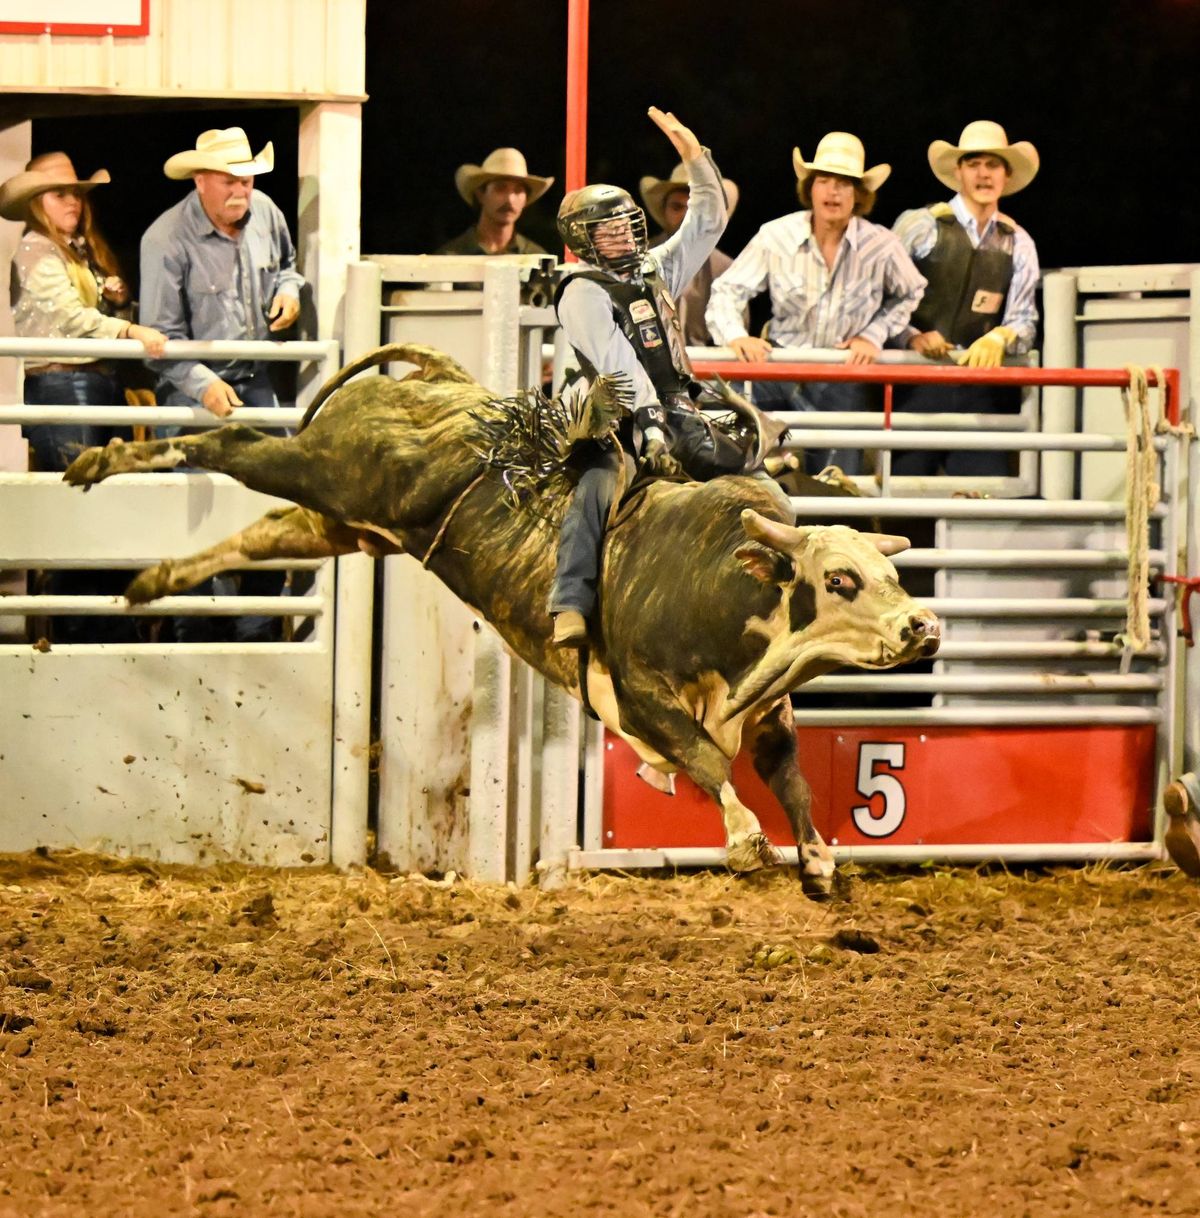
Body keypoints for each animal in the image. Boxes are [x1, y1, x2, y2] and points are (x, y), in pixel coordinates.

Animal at [60, 343, 940, 896]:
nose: (922, 626)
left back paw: (151, 579)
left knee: (267, 527)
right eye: (841, 578)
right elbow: (703, 759)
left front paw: (819, 860)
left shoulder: (768, 710)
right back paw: (104, 461)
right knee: (233, 442)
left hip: (346, 520)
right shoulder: (640, 692)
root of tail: (439, 383)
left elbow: (791, 777)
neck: (729, 582)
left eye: (894, 573)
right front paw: (750, 843)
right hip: (326, 467)